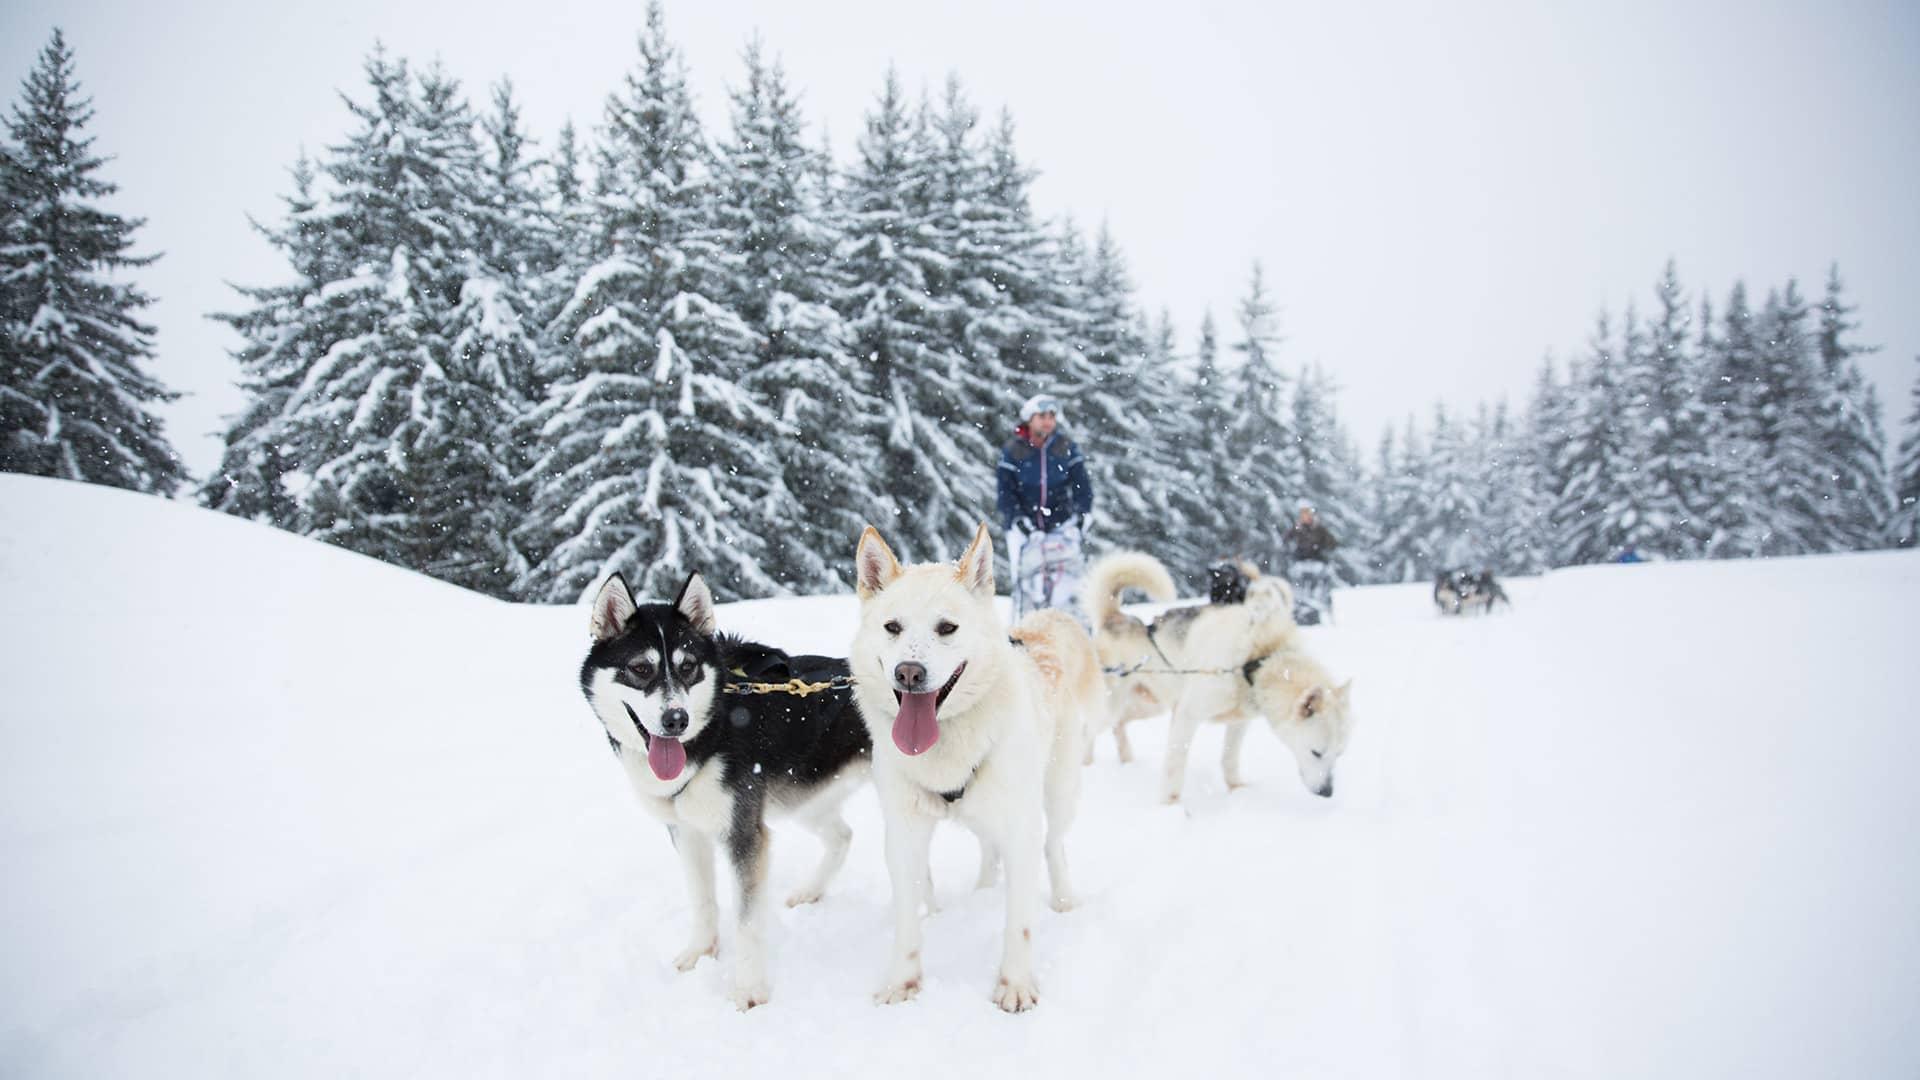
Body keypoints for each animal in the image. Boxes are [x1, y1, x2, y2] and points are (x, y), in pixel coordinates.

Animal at [572, 576, 867, 1006]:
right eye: (640, 669)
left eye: (688, 667)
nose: (676, 719)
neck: (712, 731)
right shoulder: (687, 832)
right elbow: (703, 899)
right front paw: (701, 952)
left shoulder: (744, 835)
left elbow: (746, 920)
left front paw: (748, 989)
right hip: (803, 797)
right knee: (842, 835)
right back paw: (810, 892)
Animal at [852, 522, 1098, 1006]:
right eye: (892, 627)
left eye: (947, 627)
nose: (908, 672)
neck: (947, 746)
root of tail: (1046, 627)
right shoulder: (904, 833)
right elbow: (907, 921)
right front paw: (902, 982)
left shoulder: (1021, 829)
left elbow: (1019, 923)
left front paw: (1015, 984)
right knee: (989, 846)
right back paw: (984, 889)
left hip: (1057, 793)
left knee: (1054, 845)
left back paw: (1063, 898)